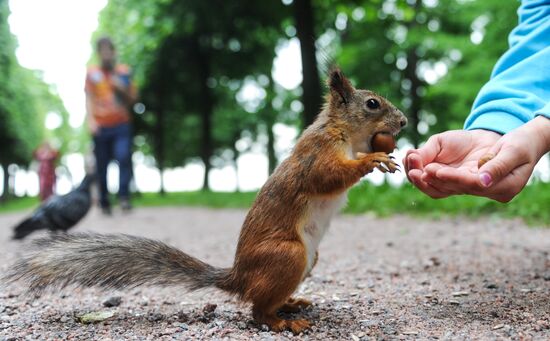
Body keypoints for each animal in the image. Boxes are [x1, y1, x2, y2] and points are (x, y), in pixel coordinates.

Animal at [6, 68, 408, 332]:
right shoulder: (316, 154)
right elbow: (326, 176)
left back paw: (291, 304)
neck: (345, 134)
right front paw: (373, 159)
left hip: (308, 259)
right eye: (373, 104)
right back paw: (281, 322)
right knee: (256, 311)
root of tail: (238, 278)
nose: (404, 122)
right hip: (288, 255)